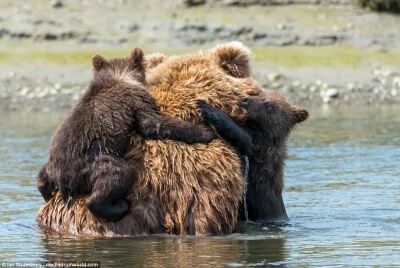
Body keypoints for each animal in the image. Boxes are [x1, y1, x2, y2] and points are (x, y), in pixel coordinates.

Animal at [36, 47, 219, 222]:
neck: (120, 76)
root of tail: (63, 179)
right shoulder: (136, 100)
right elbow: (152, 123)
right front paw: (205, 131)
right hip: (95, 162)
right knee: (119, 175)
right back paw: (118, 205)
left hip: (52, 166)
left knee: (42, 179)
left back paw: (45, 193)